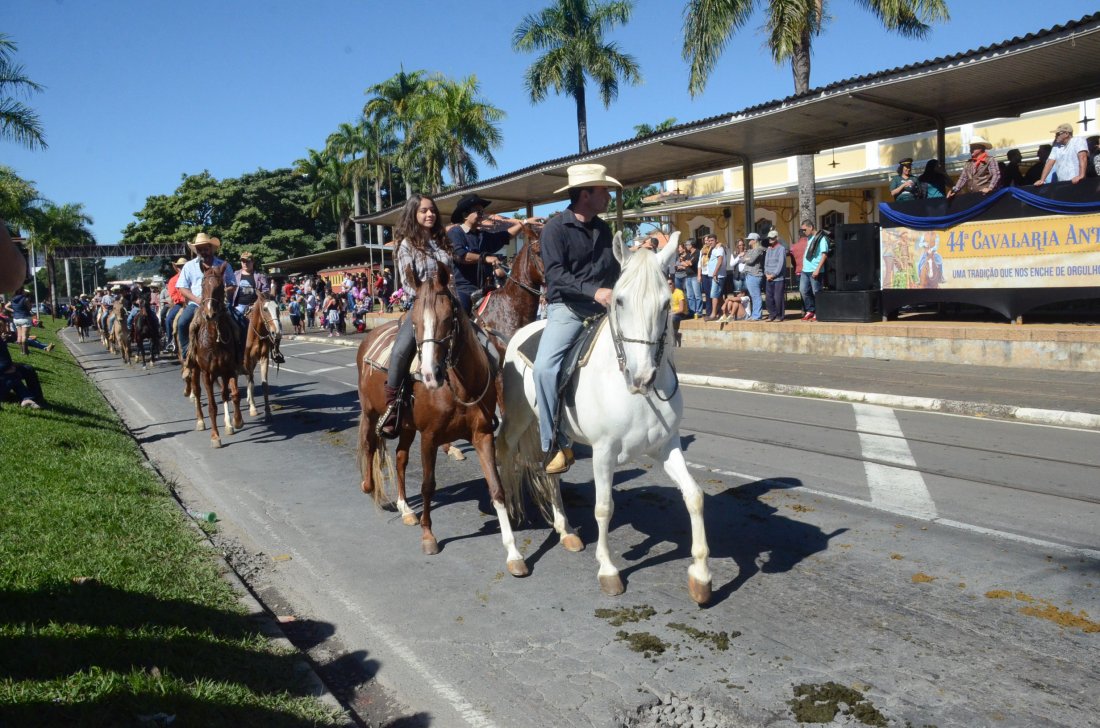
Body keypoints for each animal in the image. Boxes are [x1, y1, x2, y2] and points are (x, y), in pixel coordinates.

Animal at [184, 262, 244, 447]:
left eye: (220, 287)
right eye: (203, 285)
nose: (210, 314)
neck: (213, 339)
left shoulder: (229, 369)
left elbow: (234, 395)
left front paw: (237, 421)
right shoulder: (207, 373)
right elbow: (212, 406)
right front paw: (215, 437)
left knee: (224, 393)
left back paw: (228, 425)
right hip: (196, 370)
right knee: (196, 391)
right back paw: (200, 421)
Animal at [242, 291, 283, 420]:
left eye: (278, 308)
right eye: (265, 309)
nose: (277, 332)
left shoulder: (263, 358)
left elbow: (264, 384)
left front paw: (268, 411)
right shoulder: (248, 360)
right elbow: (251, 382)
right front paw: (253, 409)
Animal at [355, 264, 527, 577]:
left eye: (449, 318)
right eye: (415, 322)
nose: (429, 374)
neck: (459, 386)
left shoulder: (482, 435)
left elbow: (496, 488)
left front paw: (514, 553)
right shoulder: (430, 437)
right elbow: (427, 485)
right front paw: (429, 537)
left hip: (406, 426)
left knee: (400, 458)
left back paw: (405, 509)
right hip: (372, 413)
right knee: (370, 444)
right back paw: (372, 489)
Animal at [496, 231, 712, 605]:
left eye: (666, 304)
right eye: (620, 301)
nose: (642, 377)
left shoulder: (666, 447)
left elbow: (694, 496)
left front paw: (701, 576)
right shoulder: (603, 452)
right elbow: (604, 507)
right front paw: (608, 570)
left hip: (552, 436)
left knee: (550, 473)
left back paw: (566, 531)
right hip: (516, 423)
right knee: (504, 459)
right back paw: (513, 545)